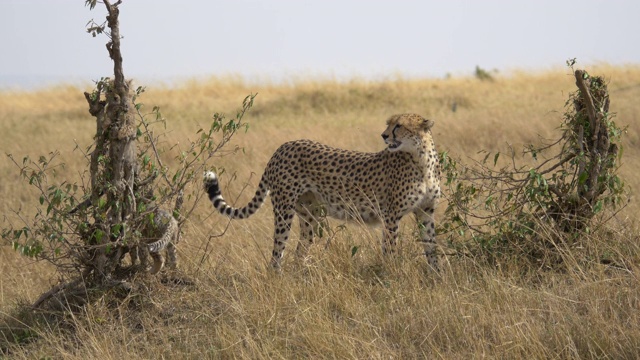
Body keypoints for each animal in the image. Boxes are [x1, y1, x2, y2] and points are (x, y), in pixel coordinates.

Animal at [205, 114, 440, 268]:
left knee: (300, 251)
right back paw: (277, 281)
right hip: (284, 210)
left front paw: (437, 276)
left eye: (398, 126)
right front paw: (392, 275)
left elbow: (432, 247)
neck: (421, 160)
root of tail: (283, 146)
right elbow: (390, 250)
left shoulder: (425, 211)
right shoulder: (391, 215)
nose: (383, 135)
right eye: (388, 124)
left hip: (311, 215)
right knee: (277, 253)